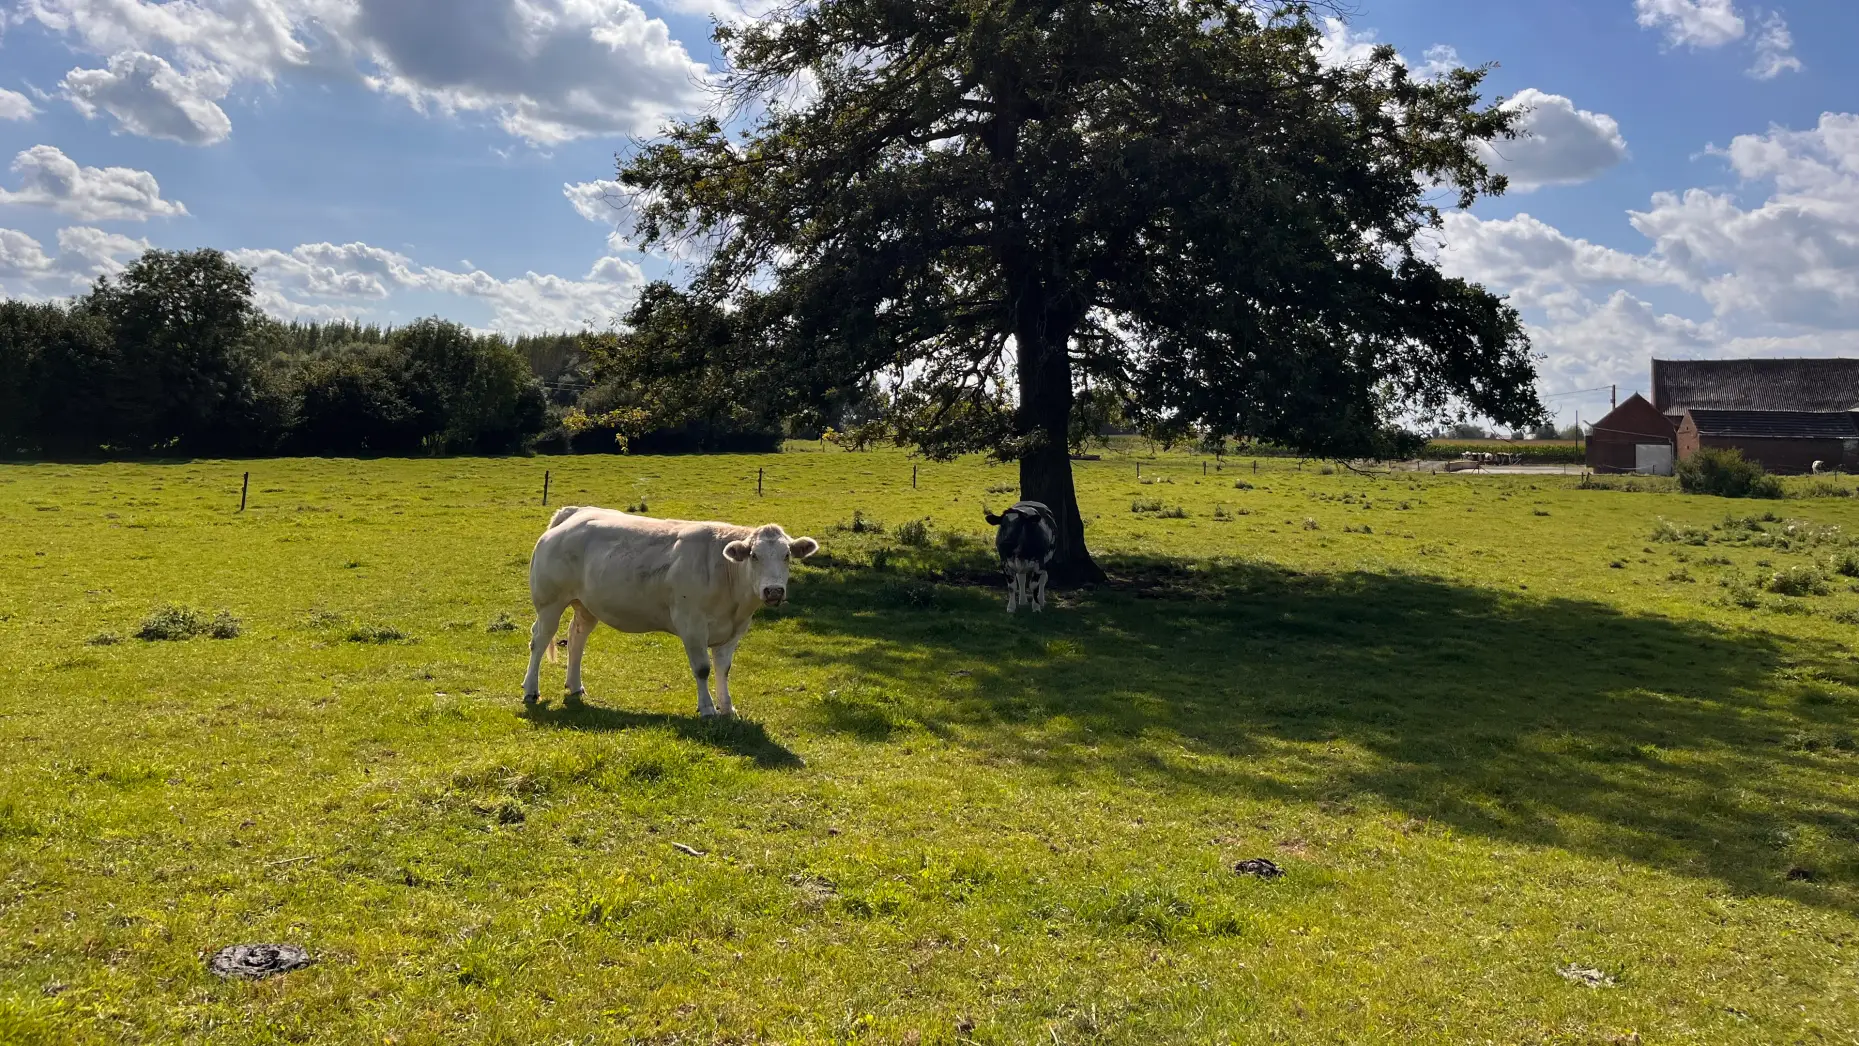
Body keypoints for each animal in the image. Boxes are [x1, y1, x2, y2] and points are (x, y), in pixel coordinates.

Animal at [522, 506, 820, 717]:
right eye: (754, 556)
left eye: (787, 555)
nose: (773, 591)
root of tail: (573, 513)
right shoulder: (692, 625)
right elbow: (702, 669)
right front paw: (707, 709)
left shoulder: (735, 629)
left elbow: (723, 668)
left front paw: (727, 707)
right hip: (549, 602)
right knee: (539, 640)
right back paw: (531, 690)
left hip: (586, 605)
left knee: (576, 638)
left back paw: (575, 686)